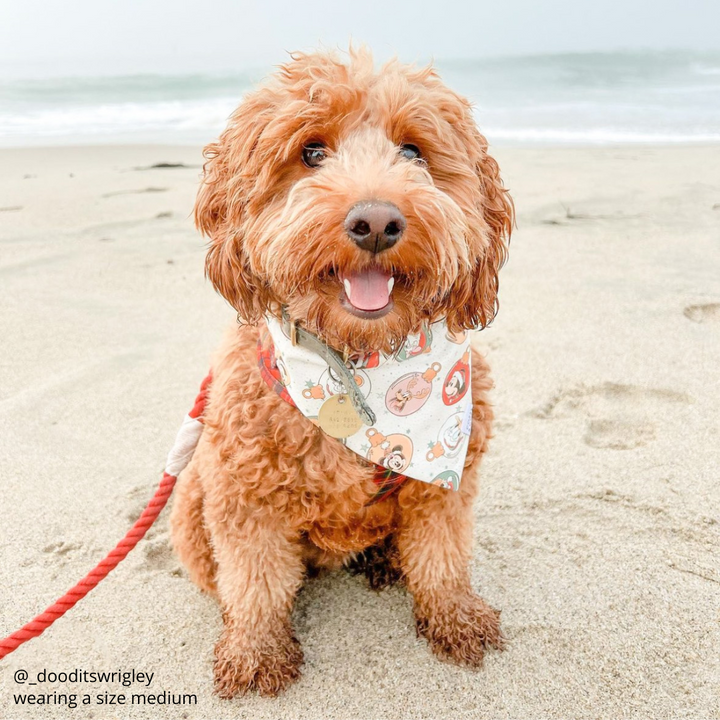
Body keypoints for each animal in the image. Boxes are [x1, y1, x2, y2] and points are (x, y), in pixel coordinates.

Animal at [169, 49, 512, 696]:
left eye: (413, 152)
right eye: (311, 152)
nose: (376, 222)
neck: (358, 364)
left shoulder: (445, 489)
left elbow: (442, 557)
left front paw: (455, 618)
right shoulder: (242, 500)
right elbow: (254, 582)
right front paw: (255, 652)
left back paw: (384, 561)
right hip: (189, 505)